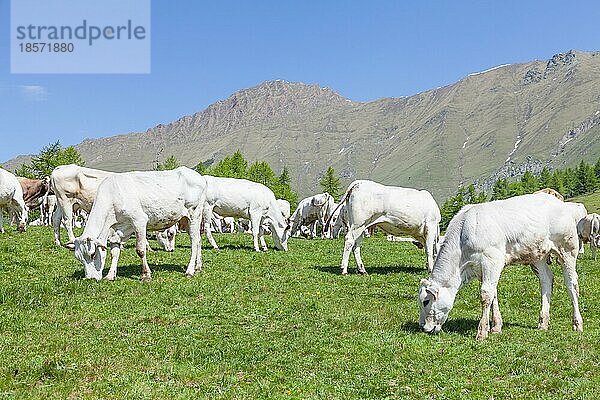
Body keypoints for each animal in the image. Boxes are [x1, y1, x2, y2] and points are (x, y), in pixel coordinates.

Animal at [74, 168, 209, 282]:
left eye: (92, 254)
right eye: (79, 258)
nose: (90, 279)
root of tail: (199, 176)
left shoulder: (139, 221)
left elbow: (140, 250)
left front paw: (146, 275)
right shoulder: (117, 231)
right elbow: (114, 252)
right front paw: (110, 275)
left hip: (194, 214)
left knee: (194, 241)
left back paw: (190, 271)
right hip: (186, 220)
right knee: (199, 240)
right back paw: (198, 267)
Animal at [420, 194, 584, 340]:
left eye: (425, 301)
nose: (423, 327)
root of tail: (558, 202)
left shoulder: (491, 260)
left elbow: (485, 294)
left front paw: (482, 332)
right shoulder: (481, 268)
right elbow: (493, 293)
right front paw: (496, 327)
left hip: (567, 248)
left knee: (571, 283)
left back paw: (577, 324)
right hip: (538, 255)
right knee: (546, 280)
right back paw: (543, 322)